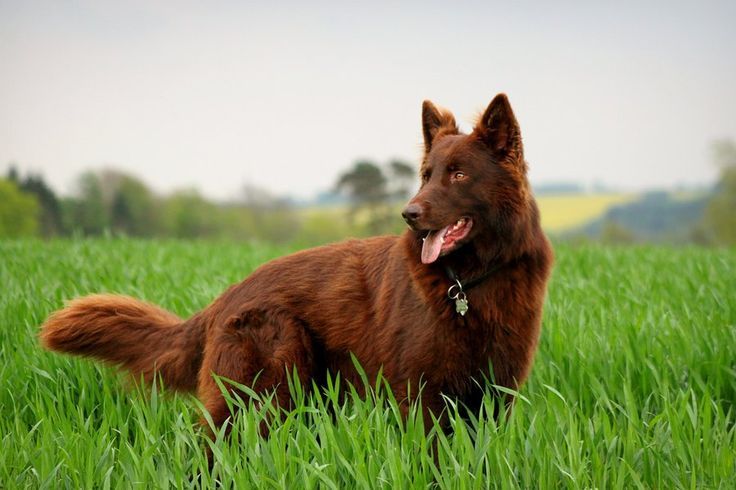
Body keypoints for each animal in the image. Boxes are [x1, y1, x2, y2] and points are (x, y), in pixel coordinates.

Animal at [40, 94, 552, 434]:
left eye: (459, 174)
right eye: (426, 176)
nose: (409, 214)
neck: (469, 281)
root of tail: (226, 297)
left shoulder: (494, 396)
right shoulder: (422, 398)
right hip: (266, 389)